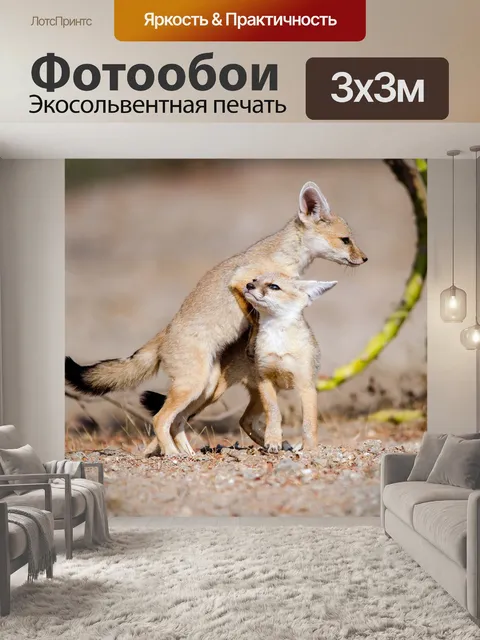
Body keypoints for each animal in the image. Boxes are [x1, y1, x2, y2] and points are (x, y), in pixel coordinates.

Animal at [66, 181, 367, 457]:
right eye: (346, 240)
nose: (364, 258)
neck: (284, 257)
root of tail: (166, 331)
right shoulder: (242, 282)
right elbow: (255, 320)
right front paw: (253, 345)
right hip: (194, 386)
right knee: (161, 418)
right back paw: (174, 455)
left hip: (205, 388)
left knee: (178, 421)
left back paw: (188, 453)